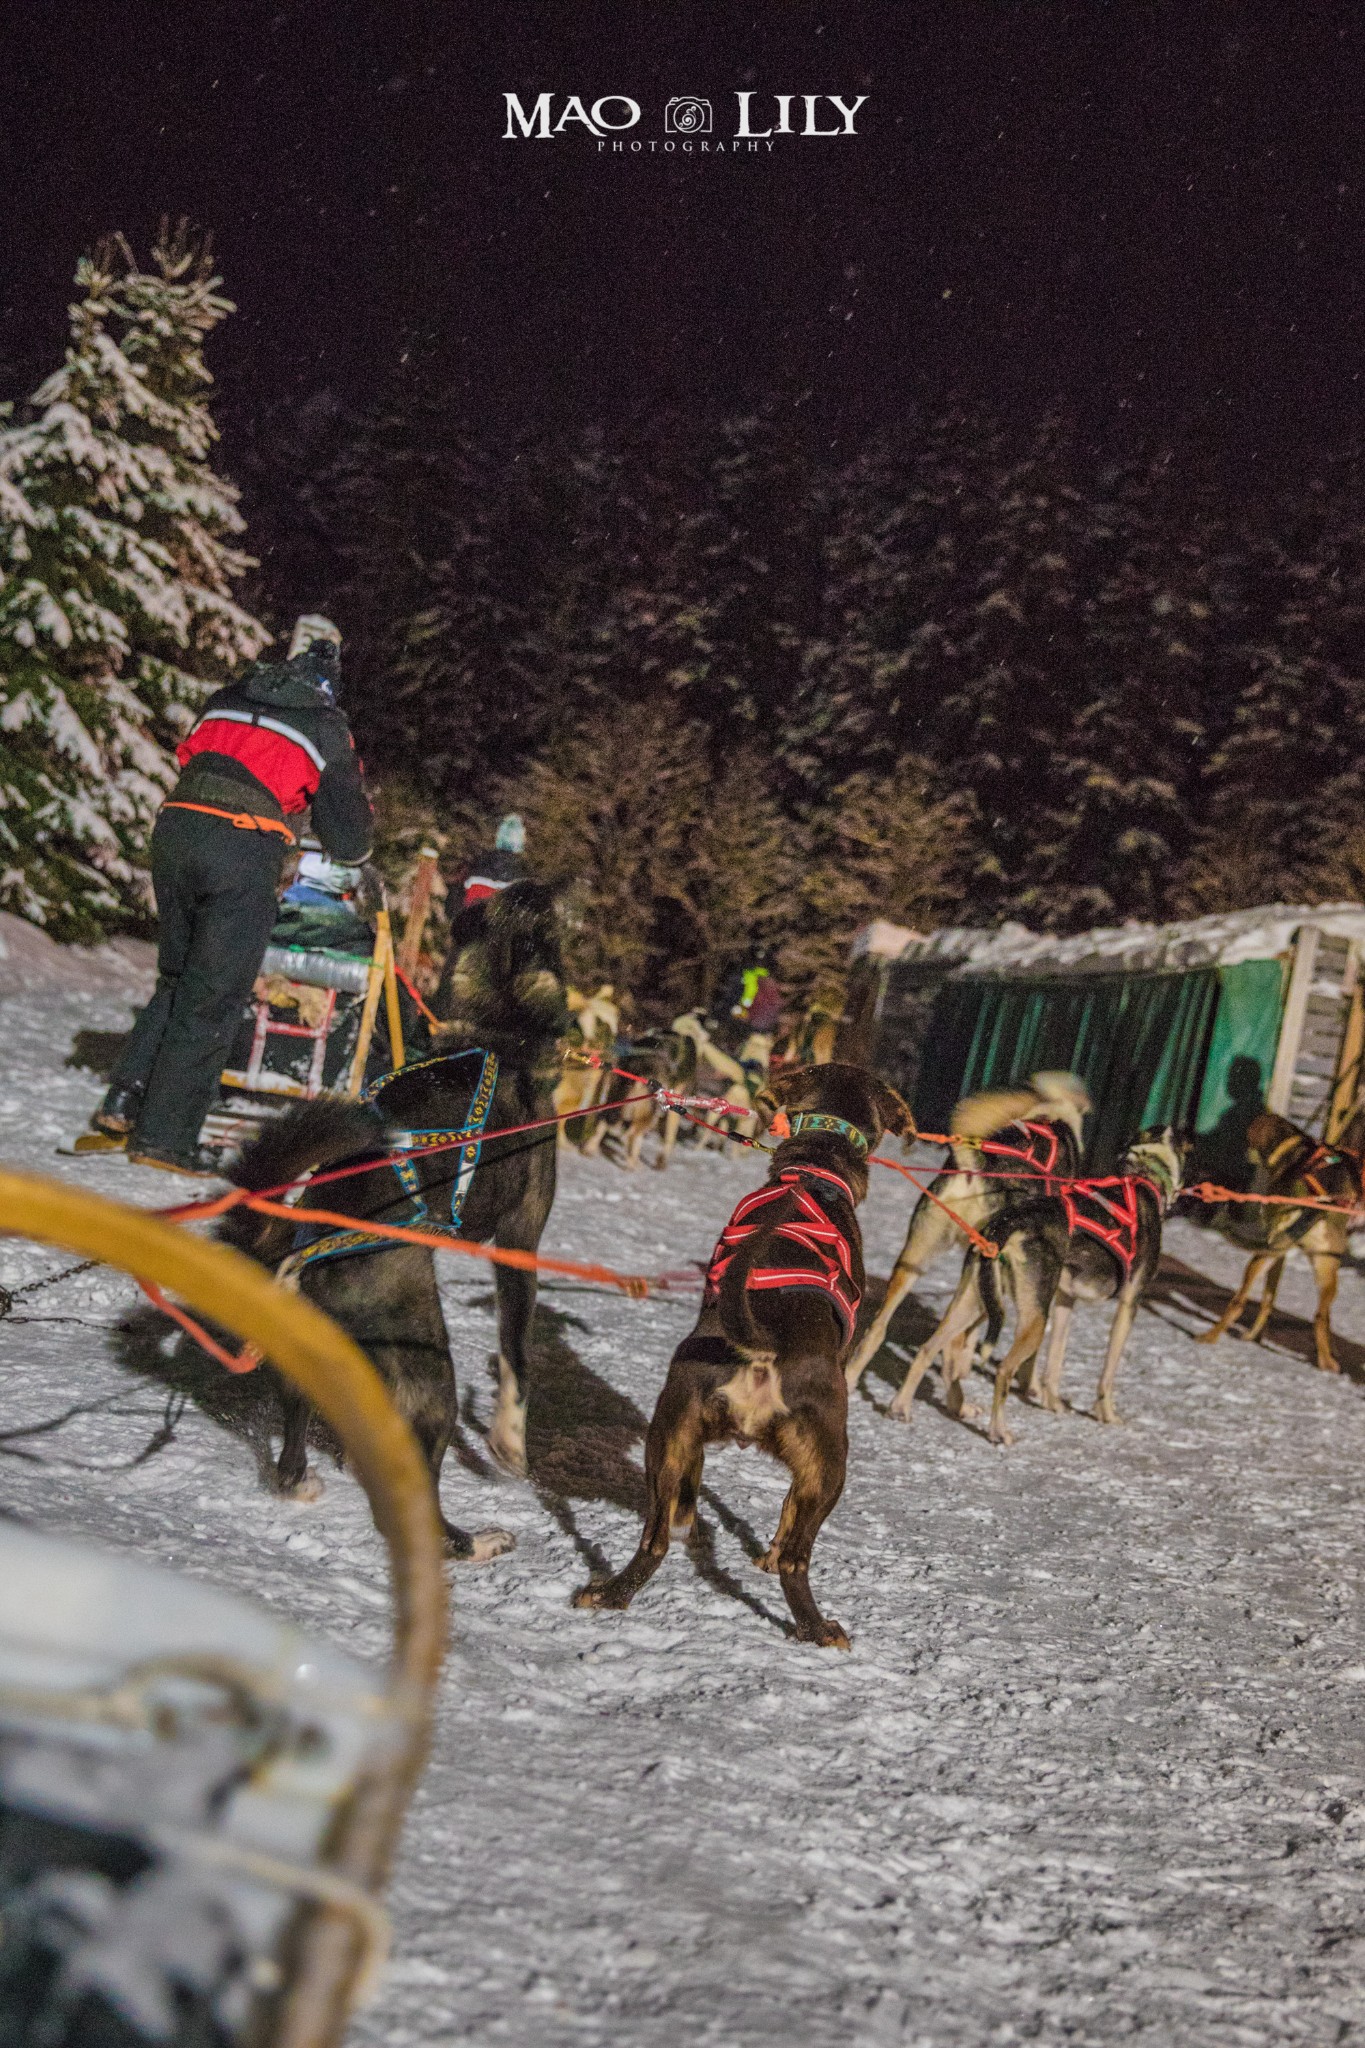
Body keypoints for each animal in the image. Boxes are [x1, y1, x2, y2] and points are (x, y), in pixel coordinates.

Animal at [224, 872, 564, 1556]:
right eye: (537, 905)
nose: (549, 881)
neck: (496, 1028)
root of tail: (312, 1252)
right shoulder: (520, 1241)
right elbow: (517, 1356)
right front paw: (509, 1444)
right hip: (431, 1377)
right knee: (426, 1501)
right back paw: (475, 1541)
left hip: (313, 1366)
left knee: (293, 1441)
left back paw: (299, 1481)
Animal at [1203, 1105, 1358, 1376]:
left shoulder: (1278, 1251)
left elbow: (1268, 1300)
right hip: (1322, 1266)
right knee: (1320, 1315)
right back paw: (1326, 1362)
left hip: (1277, 1257)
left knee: (1240, 1301)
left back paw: (1212, 1337)